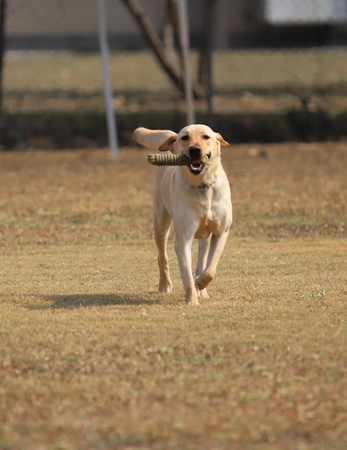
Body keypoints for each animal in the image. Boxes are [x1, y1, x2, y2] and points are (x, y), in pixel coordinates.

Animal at [133, 125, 234, 304]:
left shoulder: (221, 232)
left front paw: (200, 284)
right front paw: (192, 300)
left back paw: (201, 288)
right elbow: (186, 274)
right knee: (162, 257)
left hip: (205, 236)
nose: (195, 150)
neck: (202, 186)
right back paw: (165, 285)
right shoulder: (183, 238)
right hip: (160, 224)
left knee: (202, 261)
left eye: (206, 137)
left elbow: (210, 269)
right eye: (185, 137)